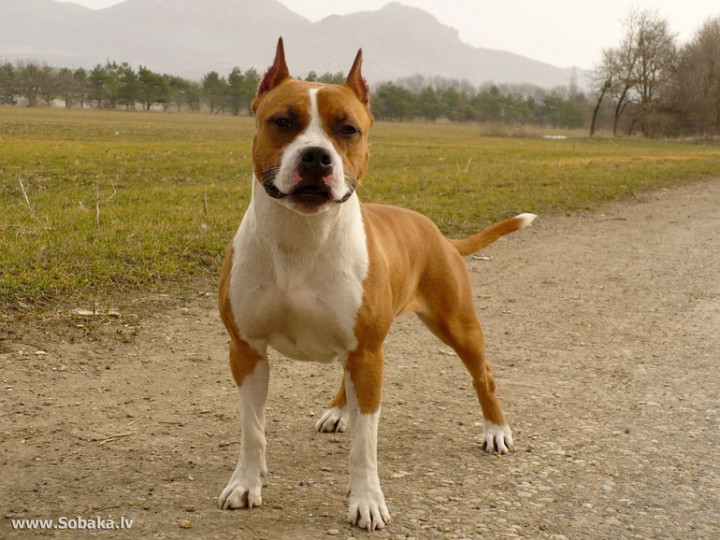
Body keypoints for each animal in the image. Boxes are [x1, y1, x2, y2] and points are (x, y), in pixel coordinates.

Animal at [217, 39, 536, 532]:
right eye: (282, 121)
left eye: (348, 129)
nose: (316, 156)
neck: (301, 238)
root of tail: (437, 232)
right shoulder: (246, 349)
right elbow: (252, 430)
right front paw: (246, 483)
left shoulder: (367, 355)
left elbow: (365, 448)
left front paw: (366, 501)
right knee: (344, 377)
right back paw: (338, 409)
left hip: (456, 326)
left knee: (483, 374)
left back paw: (496, 430)